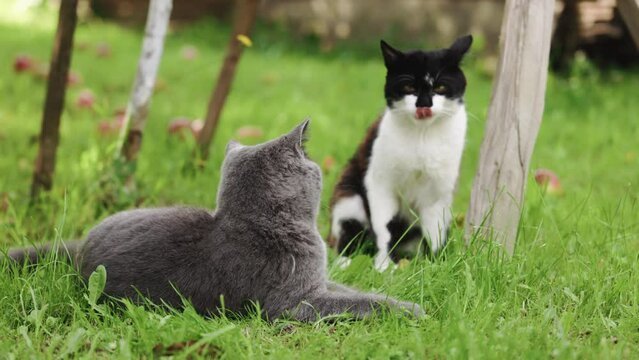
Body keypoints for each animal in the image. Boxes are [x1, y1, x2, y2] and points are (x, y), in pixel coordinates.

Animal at [7, 121, 424, 320]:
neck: (261, 223)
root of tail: (80, 246)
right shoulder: (295, 303)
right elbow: (354, 304)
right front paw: (410, 311)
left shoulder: (318, 282)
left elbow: (354, 293)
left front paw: (401, 298)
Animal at [330, 35, 476, 270]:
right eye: (409, 86)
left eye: (440, 86)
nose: (424, 105)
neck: (422, 137)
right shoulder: (380, 183)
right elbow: (383, 228)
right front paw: (383, 267)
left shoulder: (438, 194)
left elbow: (434, 233)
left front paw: (434, 266)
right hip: (348, 198)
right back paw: (345, 262)